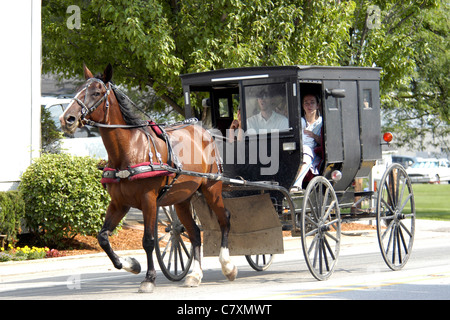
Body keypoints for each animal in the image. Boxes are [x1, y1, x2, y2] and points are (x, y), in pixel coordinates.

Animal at [60, 64, 239, 292]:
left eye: (97, 93)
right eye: (78, 90)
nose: (67, 119)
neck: (129, 150)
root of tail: (204, 131)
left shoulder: (149, 200)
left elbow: (148, 241)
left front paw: (149, 278)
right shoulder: (119, 203)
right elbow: (102, 238)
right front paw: (131, 264)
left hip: (211, 188)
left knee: (224, 219)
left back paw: (227, 266)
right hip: (181, 199)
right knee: (195, 233)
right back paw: (195, 275)